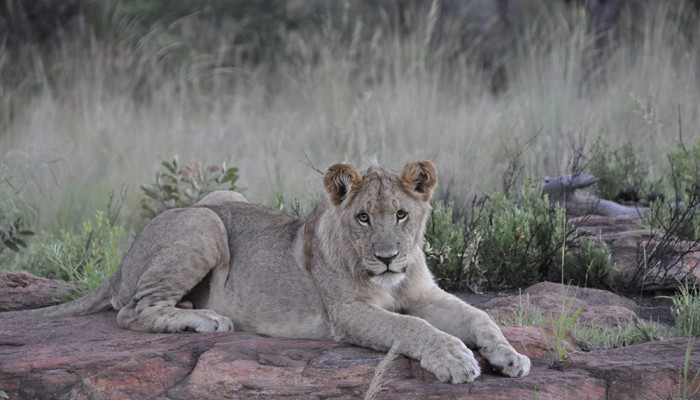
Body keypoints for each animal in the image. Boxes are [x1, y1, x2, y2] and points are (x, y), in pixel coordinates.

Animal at [0, 161, 532, 382]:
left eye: (401, 215)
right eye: (363, 218)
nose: (386, 258)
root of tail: (123, 258)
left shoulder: (424, 294)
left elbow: (479, 317)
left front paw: (509, 357)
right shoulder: (346, 314)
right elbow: (413, 328)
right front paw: (456, 360)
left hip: (220, 200)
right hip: (206, 222)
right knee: (131, 311)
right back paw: (206, 318)